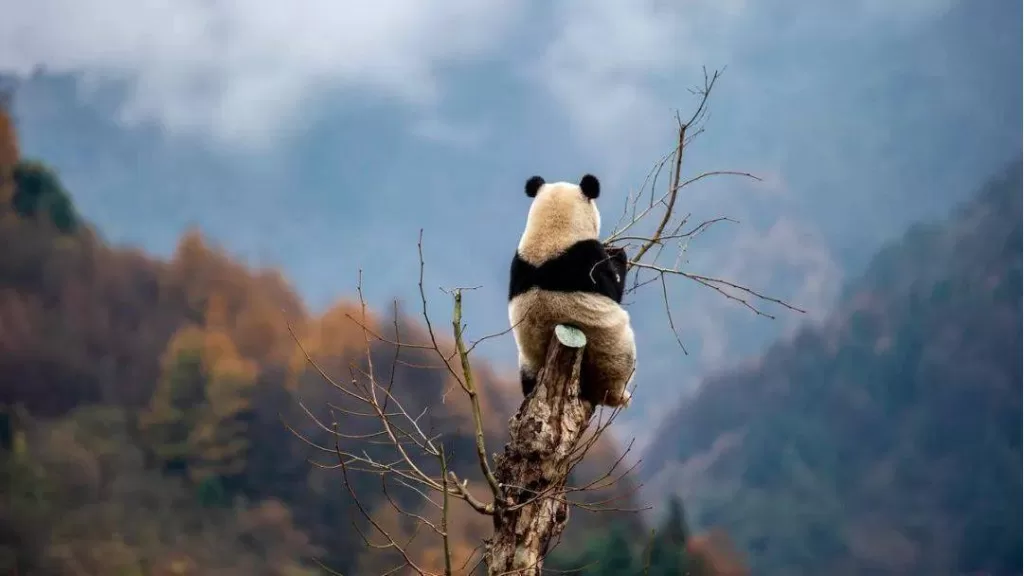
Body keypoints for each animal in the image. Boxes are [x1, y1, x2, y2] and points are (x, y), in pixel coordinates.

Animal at [507, 173, 637, 409]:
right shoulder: (587, 259)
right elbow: (613, 290)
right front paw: (617, 254)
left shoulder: (518, 264)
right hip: (608, 353)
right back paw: (619, 396)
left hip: (527, 360)